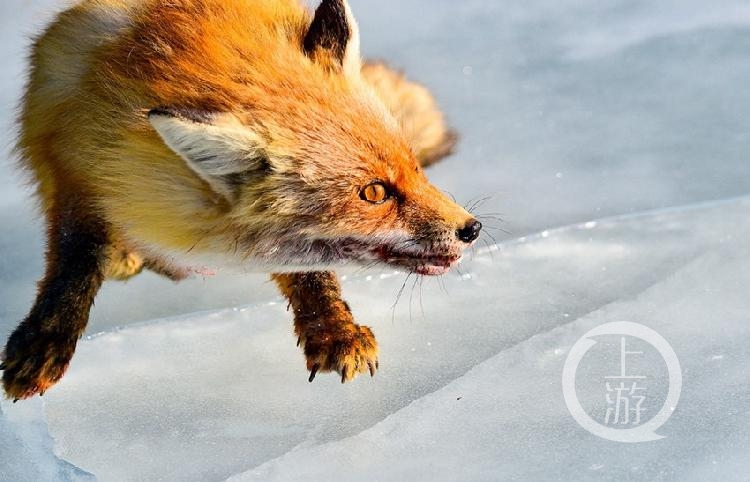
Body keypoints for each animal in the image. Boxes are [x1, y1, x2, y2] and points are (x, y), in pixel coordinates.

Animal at [1, 0, 482, 400]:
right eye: (375, 193)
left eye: (413, 167)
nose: (472, 228)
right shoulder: (75, 168)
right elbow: (74, 263)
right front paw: (45, 340)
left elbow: (310, 273)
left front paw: (333, 331)